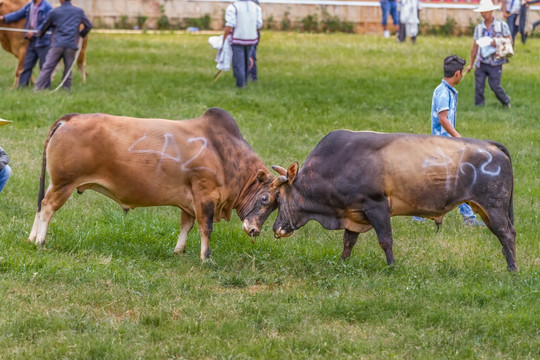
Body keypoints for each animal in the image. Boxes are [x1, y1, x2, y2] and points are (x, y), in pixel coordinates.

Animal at [28, 108, 282, 260]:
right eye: (265, 198)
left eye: (275, 206)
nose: (254, 230)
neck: (224, 153)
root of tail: (72, 116)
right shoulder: (205, 195)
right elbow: (206, 227)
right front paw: (206, 257)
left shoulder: (188, 201)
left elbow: (186, 226)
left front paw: (178, 250)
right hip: (65, 183)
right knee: (48, 207)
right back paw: (41, 240)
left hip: (56, 182)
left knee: (41, 204)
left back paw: (31, 238)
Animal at [272, 131, 516, 272]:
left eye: (279, 197)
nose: (275, 228)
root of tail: (490, 145)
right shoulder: (353, 212)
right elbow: (348, 241)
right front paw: (342, 262)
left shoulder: (376, 206)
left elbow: (385, 240)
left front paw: (391, 266)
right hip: (484, 209)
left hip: (494, 206)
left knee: (507, 234)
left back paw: (513, 269)